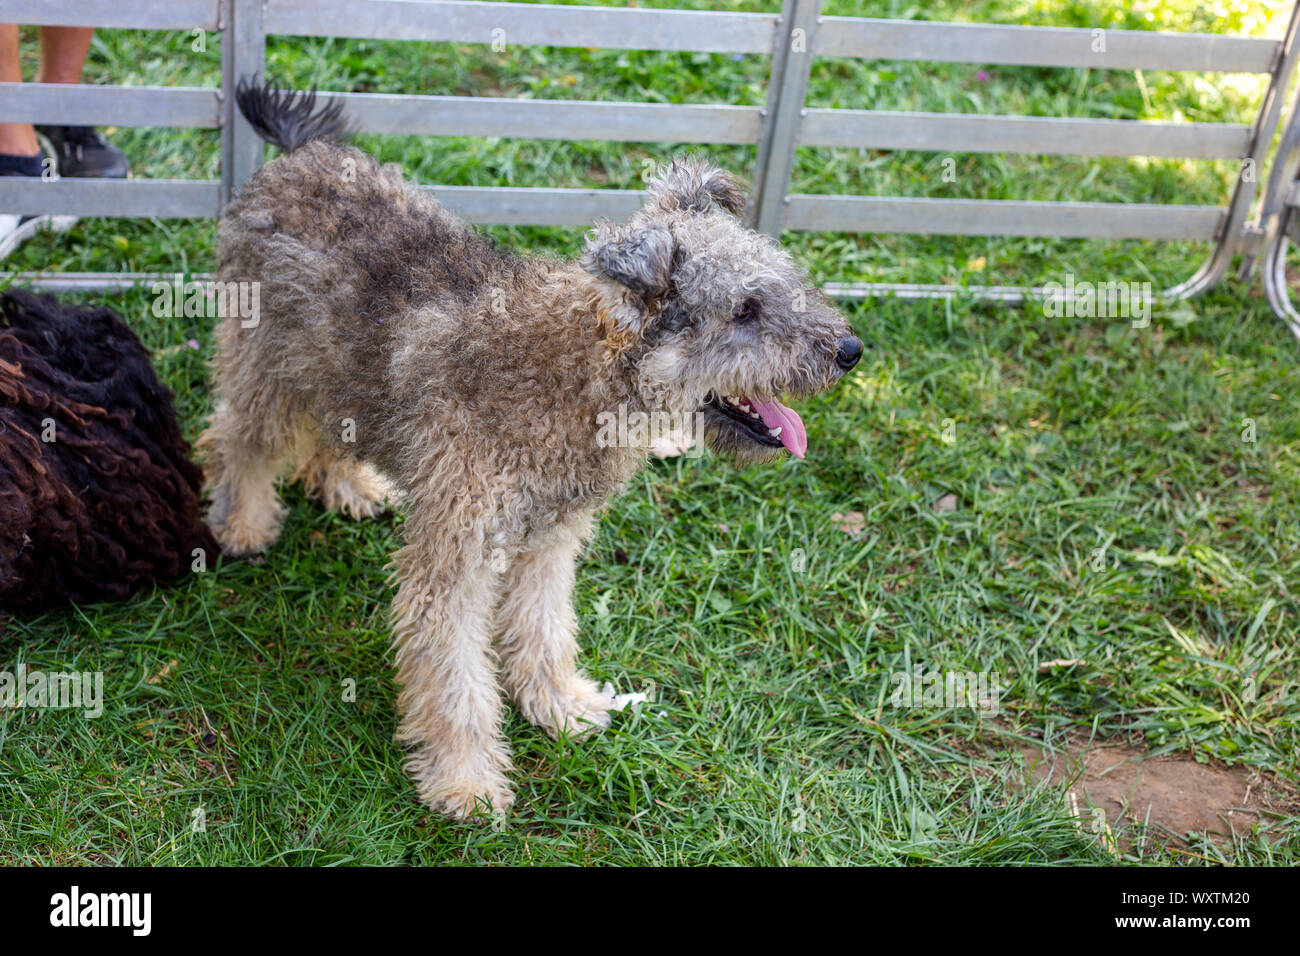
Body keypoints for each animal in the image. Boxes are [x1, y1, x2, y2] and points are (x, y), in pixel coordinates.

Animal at [202, 78, 863, 816]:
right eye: (744, 309)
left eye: (786, 282)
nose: (850, 350)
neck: (581, 375)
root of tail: (301, 153)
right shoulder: (453, 562)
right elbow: (456, 678)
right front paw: (465, 778)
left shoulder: (548, 541)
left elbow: (545, 630)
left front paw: (558, 703)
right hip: (266, 361)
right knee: (235, 435)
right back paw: (242, 521)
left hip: (334, 367)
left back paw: (345, 482)